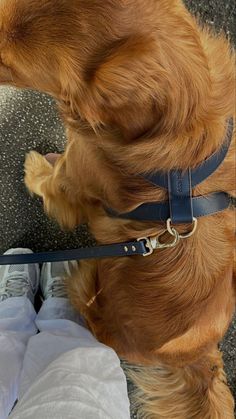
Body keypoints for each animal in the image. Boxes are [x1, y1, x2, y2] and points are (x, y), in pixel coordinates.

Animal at [0, 0, 236, 418]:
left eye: (9, 65)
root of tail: (199, 355)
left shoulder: (74, 177)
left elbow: (50, 183)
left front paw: (34, 168)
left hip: (87, 284)